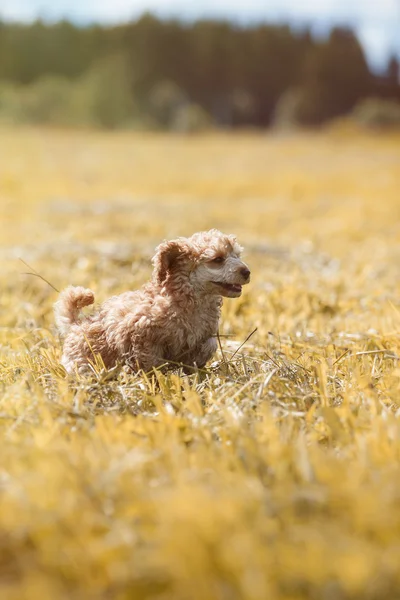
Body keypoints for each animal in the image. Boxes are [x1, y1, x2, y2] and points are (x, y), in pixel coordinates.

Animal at [54, 230, 250, 376]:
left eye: (238, 255)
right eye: (218, 259)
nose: (247, 272)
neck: (192, 298)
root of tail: (76, 324)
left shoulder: (202, 335)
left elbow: (208, 345)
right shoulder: (142, 335)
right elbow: (149, 361)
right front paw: (153, 379)